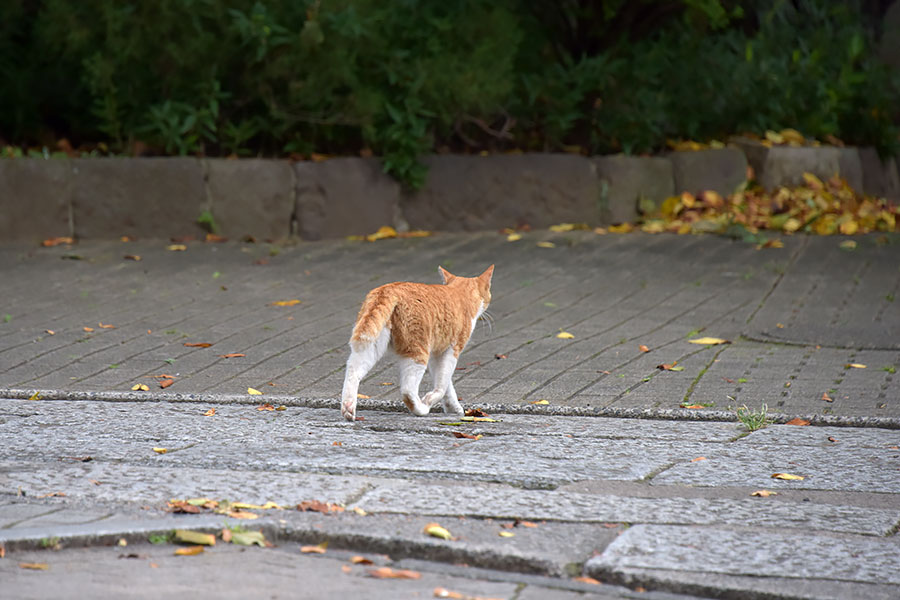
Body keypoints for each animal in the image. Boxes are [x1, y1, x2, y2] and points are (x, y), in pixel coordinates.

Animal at [340, 264, 492, 420]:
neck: (459, 294)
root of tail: (389, 289)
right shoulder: (452, 350)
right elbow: (442, 383)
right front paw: (430, 400)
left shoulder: (436, 353)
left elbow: (445, 382)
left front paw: (453, 408)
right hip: (417, 352)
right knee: (407, 390)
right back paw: (421, 408)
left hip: (371, 344)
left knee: (353, 370)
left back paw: (348, 407)